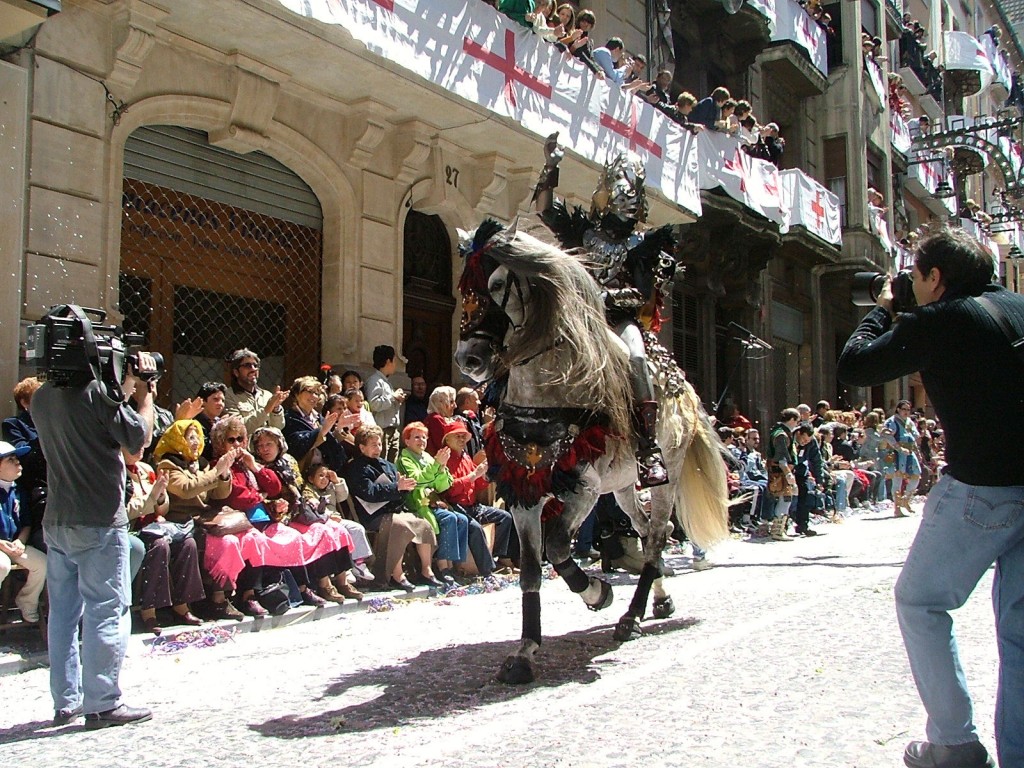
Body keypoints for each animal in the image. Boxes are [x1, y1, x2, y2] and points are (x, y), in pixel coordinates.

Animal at [454, 221, 729, 684]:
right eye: (468, 290)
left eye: (497, 285)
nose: (468, 358)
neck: (547, 394)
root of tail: (686, 391)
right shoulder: (525, 492)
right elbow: (531, 570)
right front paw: (525, 652)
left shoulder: (580, 488)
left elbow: (559, 548)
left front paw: (597, 594)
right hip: (620, 488)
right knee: (644, 531)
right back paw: (659, 598)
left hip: (665, 478)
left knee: (657, 535)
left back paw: (631, 616)